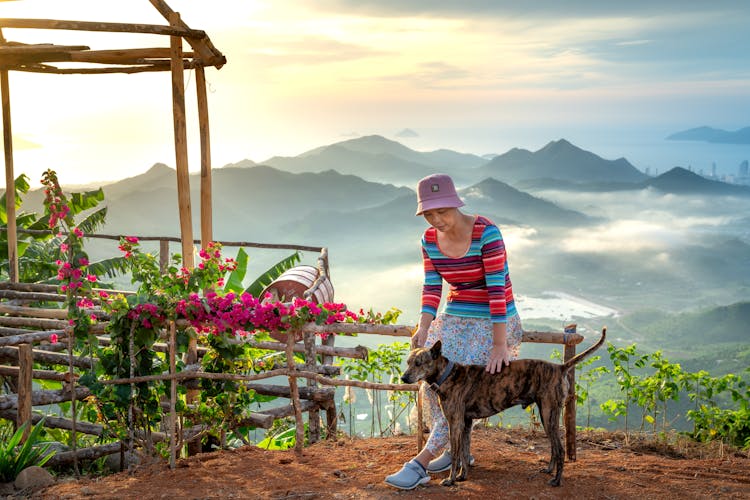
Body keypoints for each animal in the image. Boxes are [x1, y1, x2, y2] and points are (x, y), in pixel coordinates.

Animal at [402, 326, 608, 486]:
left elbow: (456, 455)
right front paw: (462, 476)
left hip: (549, 413)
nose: (403, 378)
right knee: (553, 447)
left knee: (560, 449)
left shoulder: (455, 424)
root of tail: (560, 367)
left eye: (419, 363)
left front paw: (451, 480)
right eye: (408, 362)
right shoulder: (466, 424)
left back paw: (557, 481)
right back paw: (549, 470)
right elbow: (464, 454)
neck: (447, 375)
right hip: (546, 415)